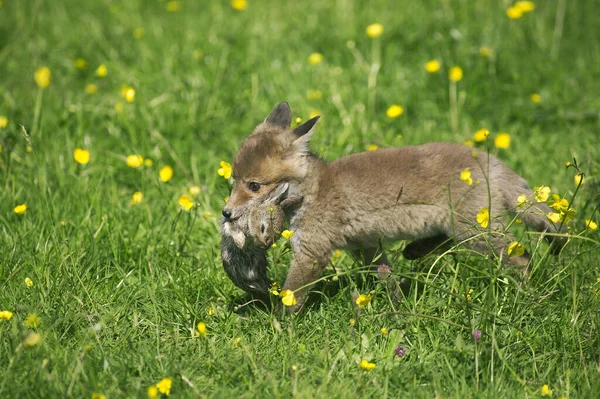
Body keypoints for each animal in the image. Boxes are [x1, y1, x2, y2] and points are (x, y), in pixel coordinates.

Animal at [221, 101, 568, 310]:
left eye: (254, 186)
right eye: (233, 180)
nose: (226, 213)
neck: (314, 190)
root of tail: (490, 161)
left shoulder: (311, 252)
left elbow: (290, 298)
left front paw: (279, 331)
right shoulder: (367, 245)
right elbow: (386, 278)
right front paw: (398, 309)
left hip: (475, 231)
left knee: (522, 256)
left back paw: (529, 296)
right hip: (462, 227)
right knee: (443, 242)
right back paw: (416, 250)